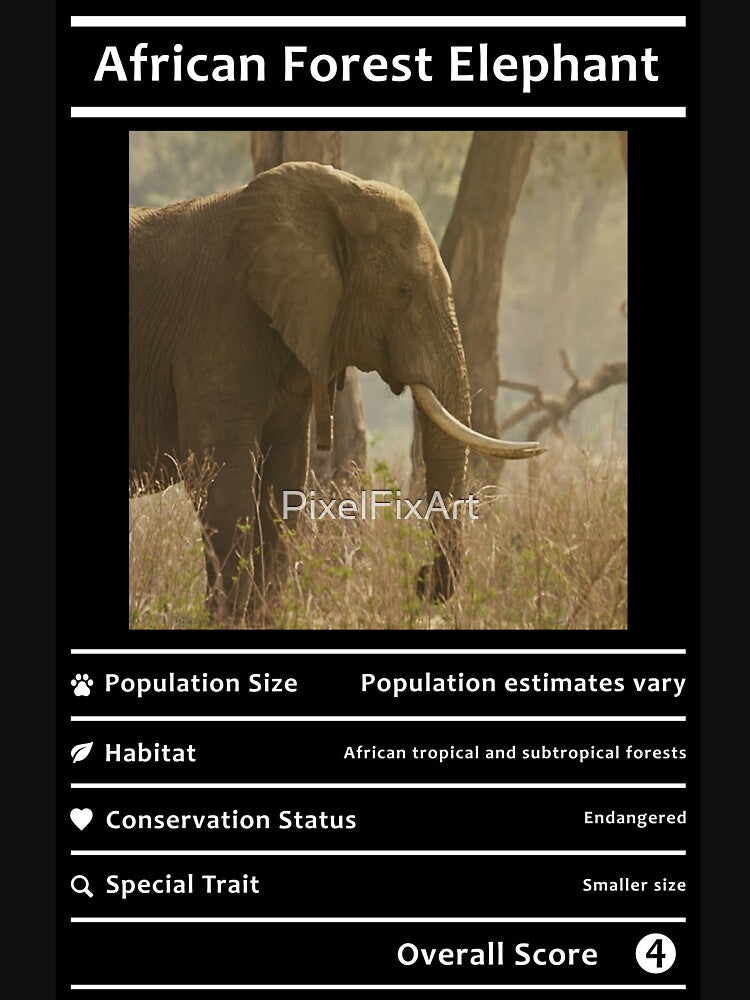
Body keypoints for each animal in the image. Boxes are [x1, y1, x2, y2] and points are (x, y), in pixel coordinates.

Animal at [129, 161, 543, 621]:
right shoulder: (215, 327)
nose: (421, 582)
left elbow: (284, 478)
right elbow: (223, 482)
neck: (337, 195)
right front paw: (227, 622)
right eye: (403, 290)